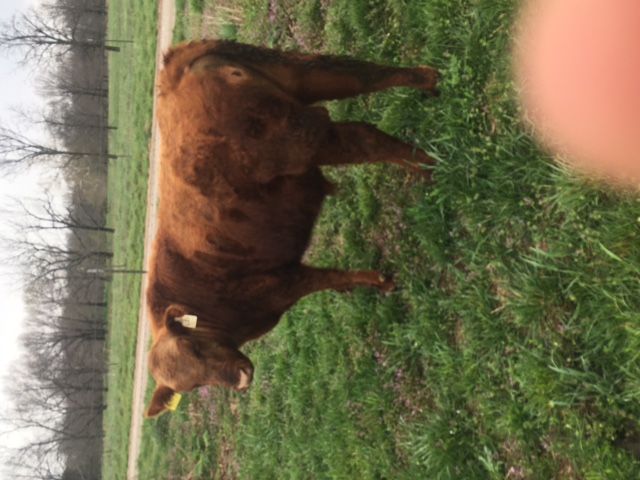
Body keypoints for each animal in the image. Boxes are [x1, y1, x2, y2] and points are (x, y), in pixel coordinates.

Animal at [145, 40, 440, 418]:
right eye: (192, 386)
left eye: (194, 347)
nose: (241, 379)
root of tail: (176, 71)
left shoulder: (282, 283)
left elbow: (329, 277)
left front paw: (382, 281)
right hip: (302, 78)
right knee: (364, 77)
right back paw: (429, 91)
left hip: (303, 138)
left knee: (366, 138)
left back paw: (433, 167)